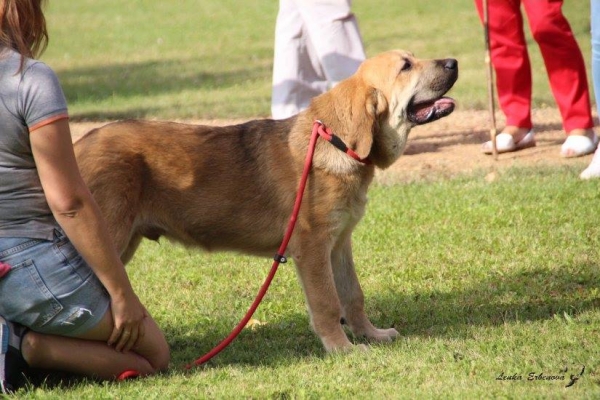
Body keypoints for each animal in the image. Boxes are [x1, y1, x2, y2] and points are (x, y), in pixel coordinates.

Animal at [76, 50, 460, 354]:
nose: (454, 62)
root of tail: (79, 145)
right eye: (406, 66)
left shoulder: (339, 243)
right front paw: (342, 349)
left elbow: (353, 295)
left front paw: (370, 335)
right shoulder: (313, 249)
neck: (335, 140)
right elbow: (327, 302)